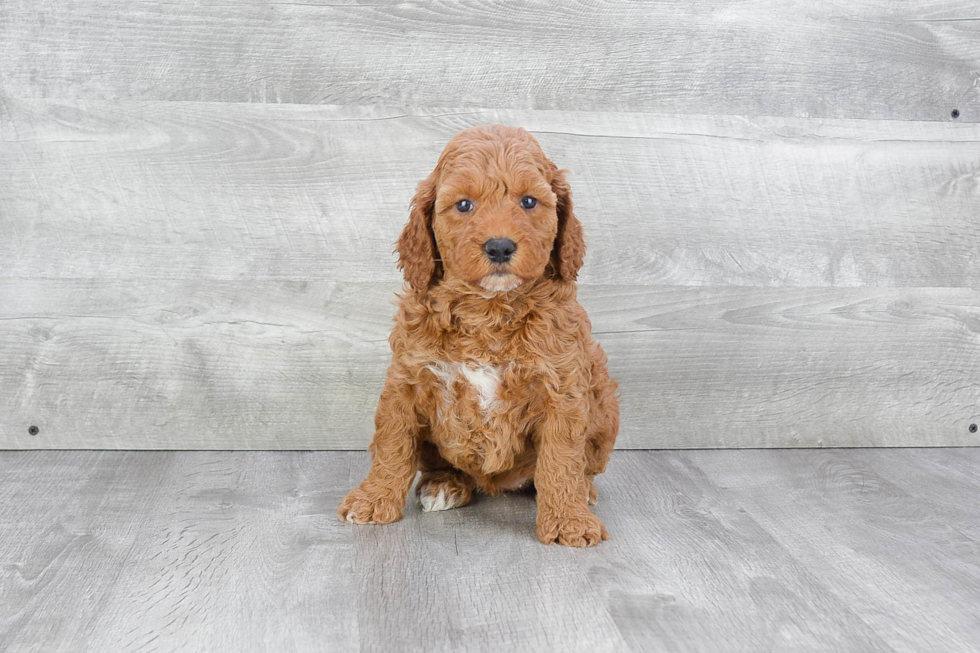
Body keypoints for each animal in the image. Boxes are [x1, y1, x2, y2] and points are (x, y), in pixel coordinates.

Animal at [338, 123, 620, 544]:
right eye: (464, 205)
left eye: (529, 201)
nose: (500, 247)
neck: (489, 309)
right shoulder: (406, 381)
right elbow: (392, 445)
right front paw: (373, 500)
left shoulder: (563, 388)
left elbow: (562, 458)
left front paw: (568, 520)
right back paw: (446, 485)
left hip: (601, 390)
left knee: (581, 465)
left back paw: (583, 491)